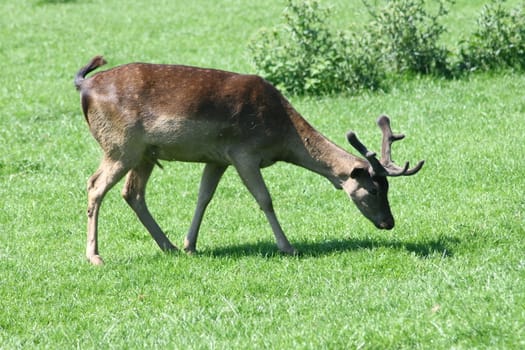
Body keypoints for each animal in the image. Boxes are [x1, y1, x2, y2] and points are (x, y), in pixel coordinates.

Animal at [73, 56, 424, 264]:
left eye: (388, 189)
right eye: (373, 190)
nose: (389, 223)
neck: (281, 136)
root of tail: (84, 85)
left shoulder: (218, 157)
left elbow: (203, 197)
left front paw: (190, 245)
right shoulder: (244, 152)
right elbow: (264, 199)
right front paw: (287, 246)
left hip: (145, 152)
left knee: (132, 193)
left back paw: (168, 246)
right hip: (121, 146)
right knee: (95, 186)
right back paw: (95, 256)